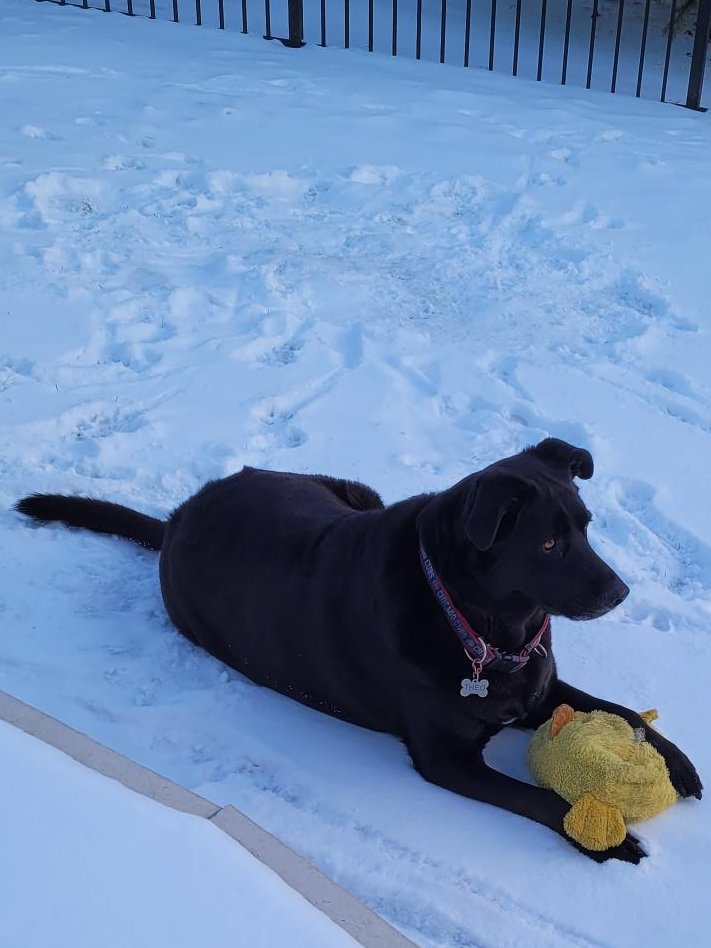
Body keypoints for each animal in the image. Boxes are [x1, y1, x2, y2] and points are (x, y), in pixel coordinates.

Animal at [16, 436, 700, 860]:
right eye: (549, 544)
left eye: (586, 527)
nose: (620, 591)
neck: (480, 627)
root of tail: (176, 519)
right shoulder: (445, 760)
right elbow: (533, 797)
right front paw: (606, 838)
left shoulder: (540, 684)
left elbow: (625, 712)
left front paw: (680, 765)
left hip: (353, 491)